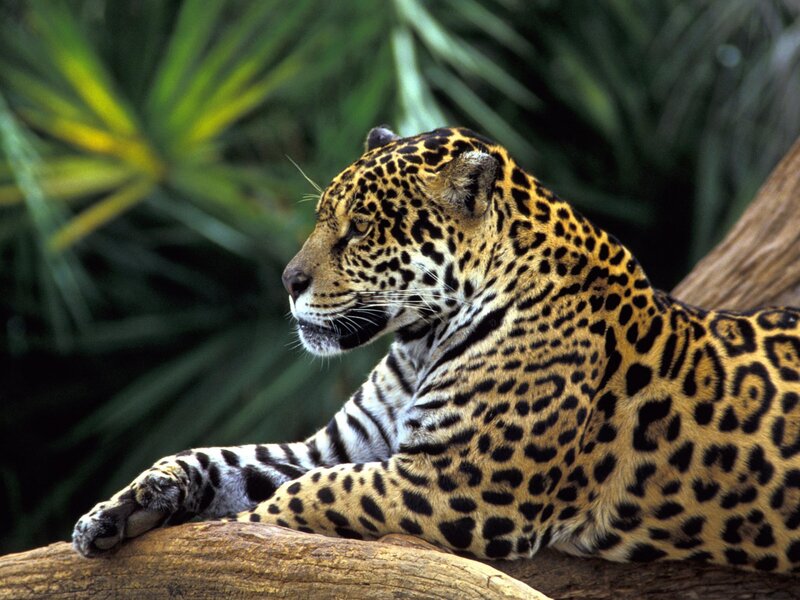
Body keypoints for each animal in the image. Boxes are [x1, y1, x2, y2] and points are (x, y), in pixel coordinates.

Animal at [73, 126, 800, 573]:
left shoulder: (458, 487)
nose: (287, 281)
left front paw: (245, 526)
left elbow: (311, 495)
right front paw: (122, 508)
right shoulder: (340, 445)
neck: (422, 339)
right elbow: (224, 461)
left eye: (358, 230)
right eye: (321, 218)